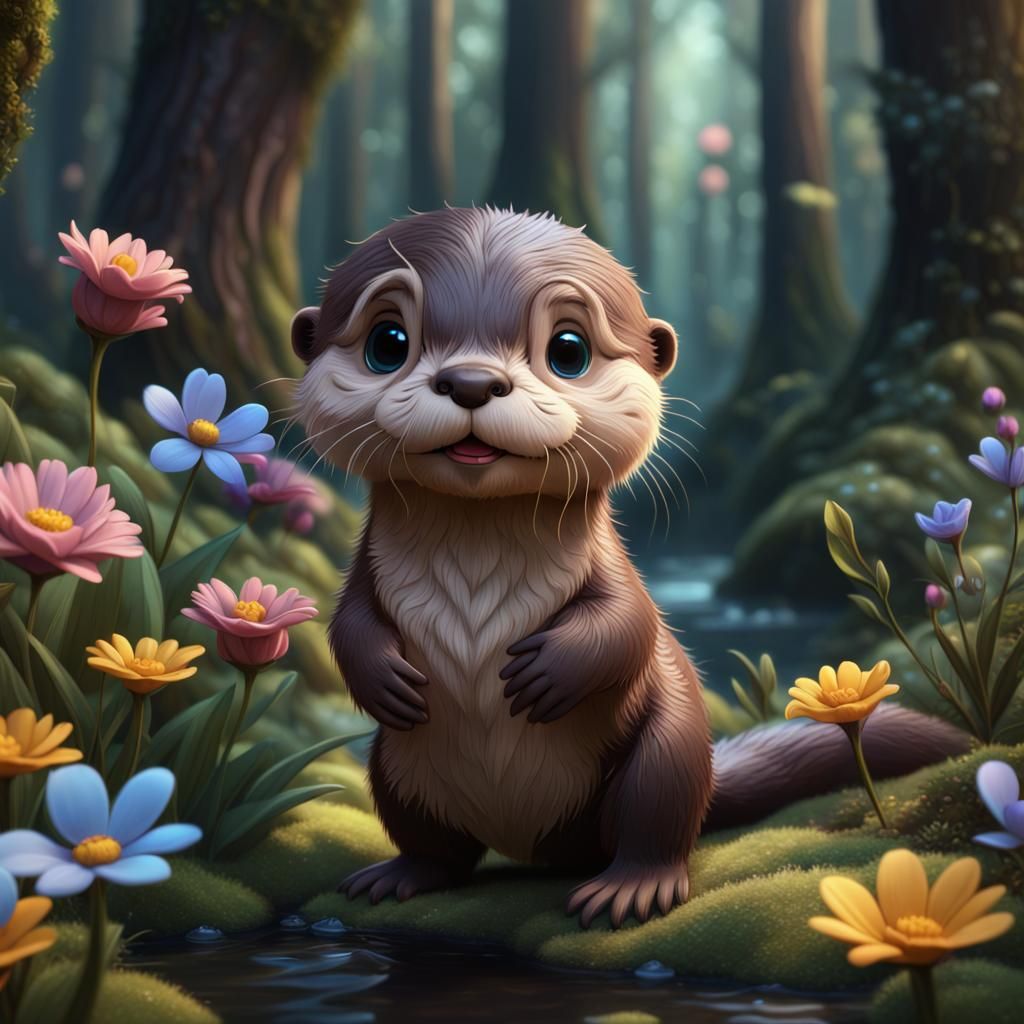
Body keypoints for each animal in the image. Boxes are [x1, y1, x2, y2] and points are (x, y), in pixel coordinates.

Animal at [291, 207, 969, 928]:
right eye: (388, 342)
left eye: (569, 350)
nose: (472, 382)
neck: (476, 558)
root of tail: (535, 844)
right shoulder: (363, 571)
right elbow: (347, 623)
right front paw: (383, 676)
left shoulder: (614, 569)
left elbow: (631, 622)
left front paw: (546, 673)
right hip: (395, 768)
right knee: (437, 849)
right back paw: (397, 876)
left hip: (664, 753)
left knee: (655, 827)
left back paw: (630, 890)